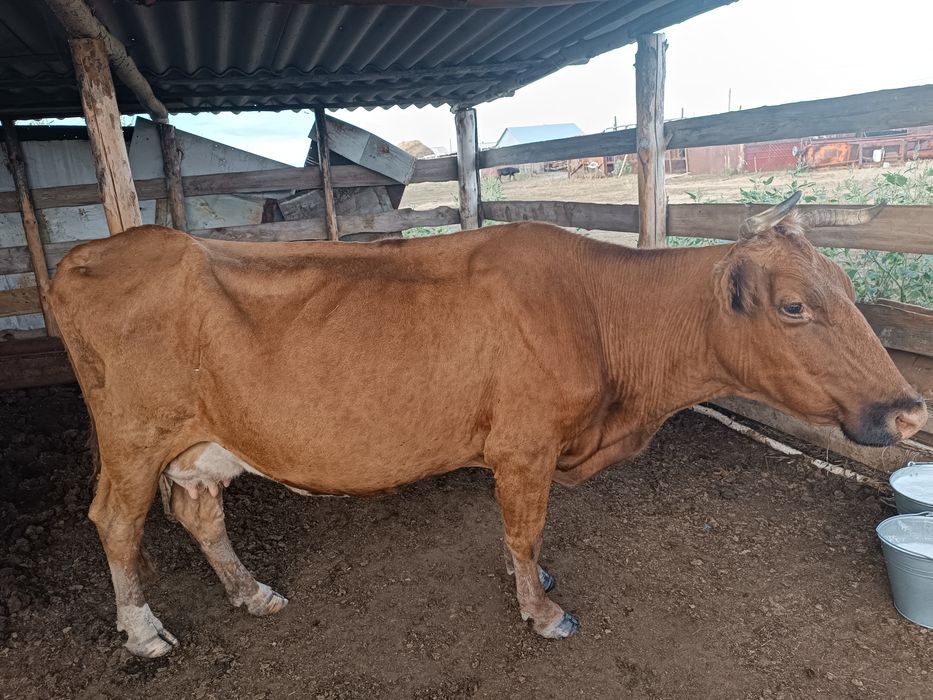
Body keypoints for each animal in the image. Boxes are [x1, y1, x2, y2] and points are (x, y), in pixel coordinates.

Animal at [49, 192, 927, 658]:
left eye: (850, 288)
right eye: (793, 306)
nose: (909, 407)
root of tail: (99, 250)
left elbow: (519, 537)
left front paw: (530, 587)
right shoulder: (524, 446)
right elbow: (524, 529)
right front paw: (540, 611)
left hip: (200, 442)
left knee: (198, 511)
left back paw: (249, 590)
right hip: (133, 436)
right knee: (116, 520)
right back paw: (143, 631)